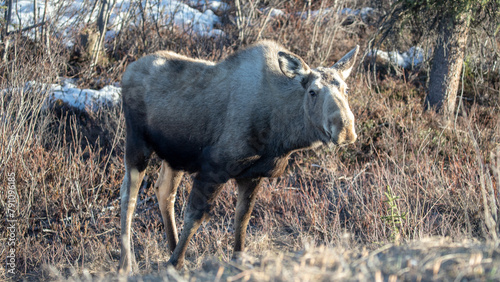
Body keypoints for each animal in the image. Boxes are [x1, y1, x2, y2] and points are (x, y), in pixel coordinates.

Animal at [118, 40, 358, 272]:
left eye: (346, 90)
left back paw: (171, 246)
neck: (283, 136)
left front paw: (238, 259)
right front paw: (174, 264)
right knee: (128, 197)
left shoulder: (252, 175)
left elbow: (242, 217)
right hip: (137, 143)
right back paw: (127, 264)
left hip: (174, 156)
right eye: (312, 91)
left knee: (164, 191)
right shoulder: (213, 169)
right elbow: (195, 216)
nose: (345, 130)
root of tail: (126, 71)